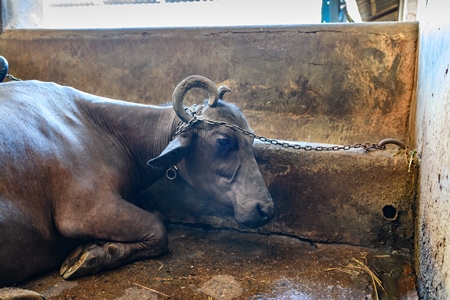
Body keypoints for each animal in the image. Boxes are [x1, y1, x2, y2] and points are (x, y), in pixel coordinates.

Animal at [0, 74, 274, 288]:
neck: (102, 129)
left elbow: (161, 217)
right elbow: (158, 229)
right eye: (223, 141)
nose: (266, 208)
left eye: (251, 139)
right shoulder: (83, 211)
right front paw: (91, 255)